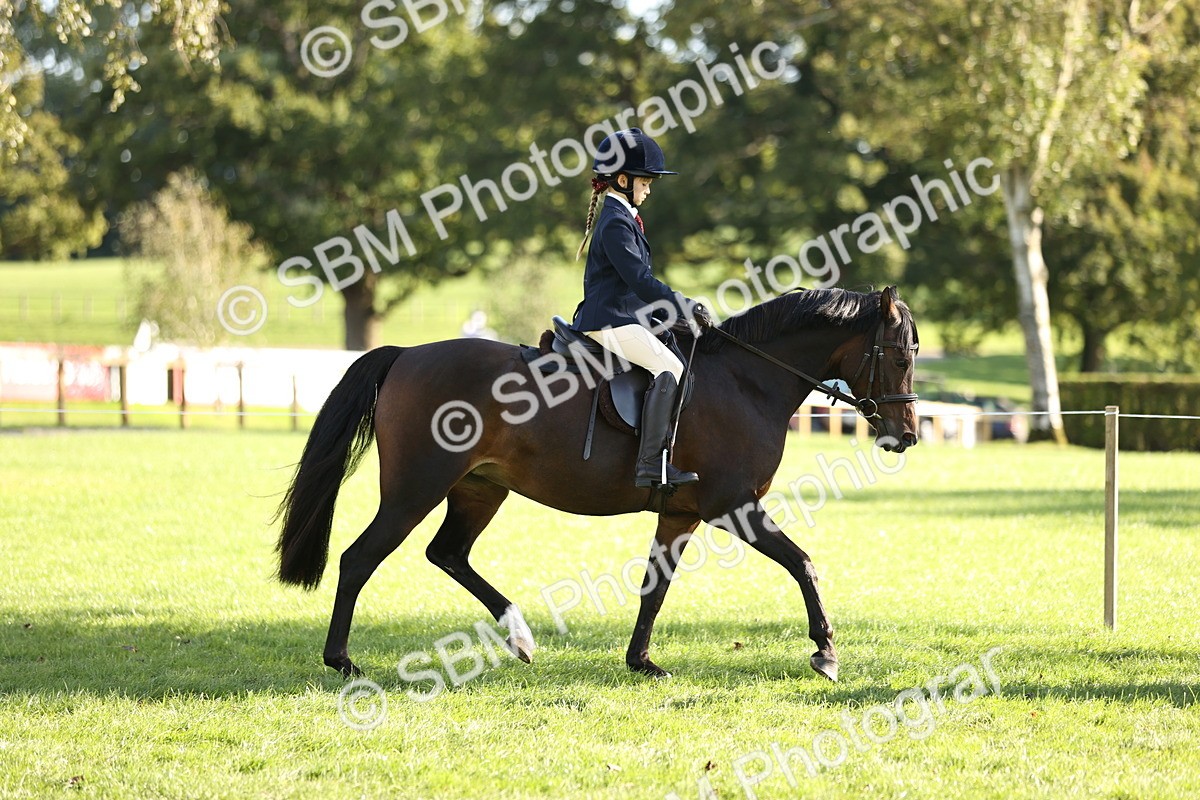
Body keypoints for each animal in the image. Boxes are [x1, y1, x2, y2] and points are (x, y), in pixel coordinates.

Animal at [275, 286, 920, 683]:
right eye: (899, 357)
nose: (907, 434)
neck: (749, 379)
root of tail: (407, 355)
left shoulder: (681, 513)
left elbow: (654, 588)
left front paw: (642, 662)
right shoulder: (733, 506)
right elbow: (803, 563)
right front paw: (826, 652)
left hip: (480, 488)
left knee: (448, 553)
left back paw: (520, 637)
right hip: (415, 489)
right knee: (360, 558)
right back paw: (343, 662)